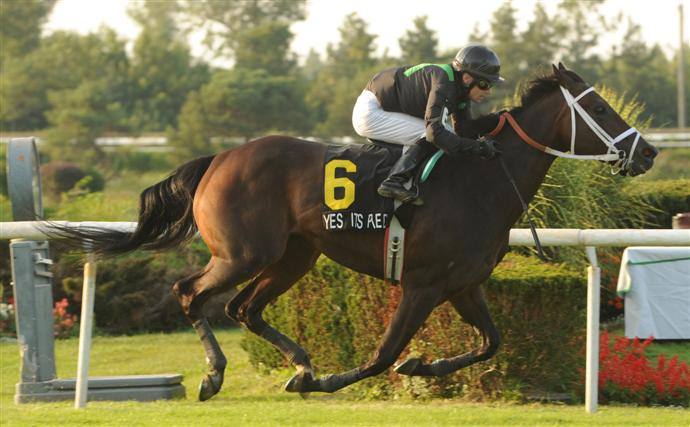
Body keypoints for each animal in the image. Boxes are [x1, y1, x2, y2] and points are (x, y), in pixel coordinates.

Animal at [53, 63, 656, 402]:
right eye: (601, 109)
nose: (648, 152)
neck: (481, 180)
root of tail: (220, 157)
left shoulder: (464, 285)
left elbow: (491, 342)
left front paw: (420, 365)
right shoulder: (422, 285)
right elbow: (384, 354)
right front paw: (330, 381)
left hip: (293, 256)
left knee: (244, 308)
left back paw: (298, 363)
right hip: (244, 253)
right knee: (191, 293)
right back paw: (215, 375)